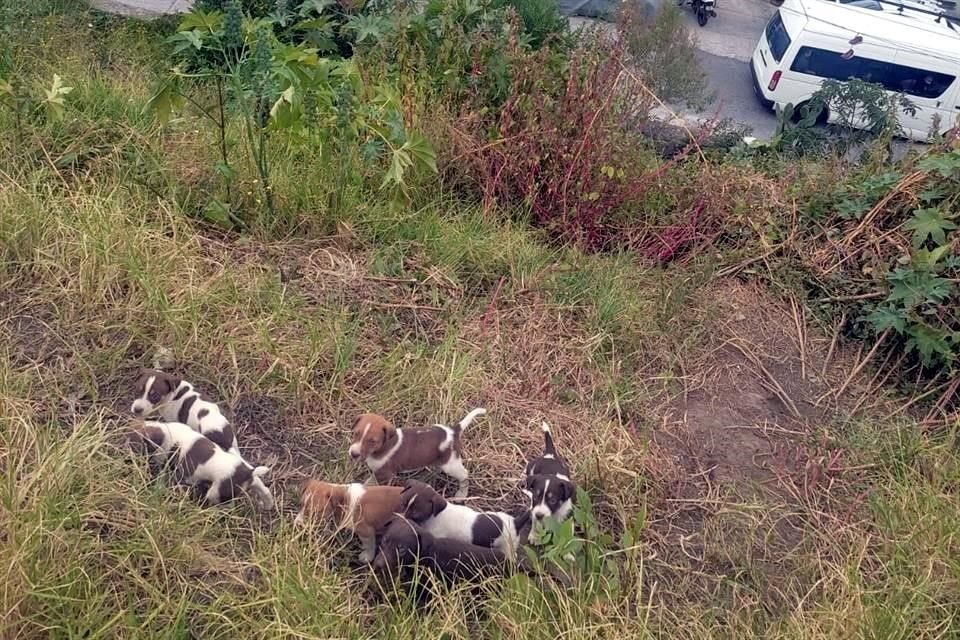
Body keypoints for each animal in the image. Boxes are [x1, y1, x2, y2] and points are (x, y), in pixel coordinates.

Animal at [346, 404, 488, 500]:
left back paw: (461, 494)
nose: (353, 454)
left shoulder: (385, 474)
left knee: (464, 474)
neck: (382, 448)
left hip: (450, 464)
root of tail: (453, 431)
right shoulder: (378, 472)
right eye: (356, 434)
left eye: (372, 441)